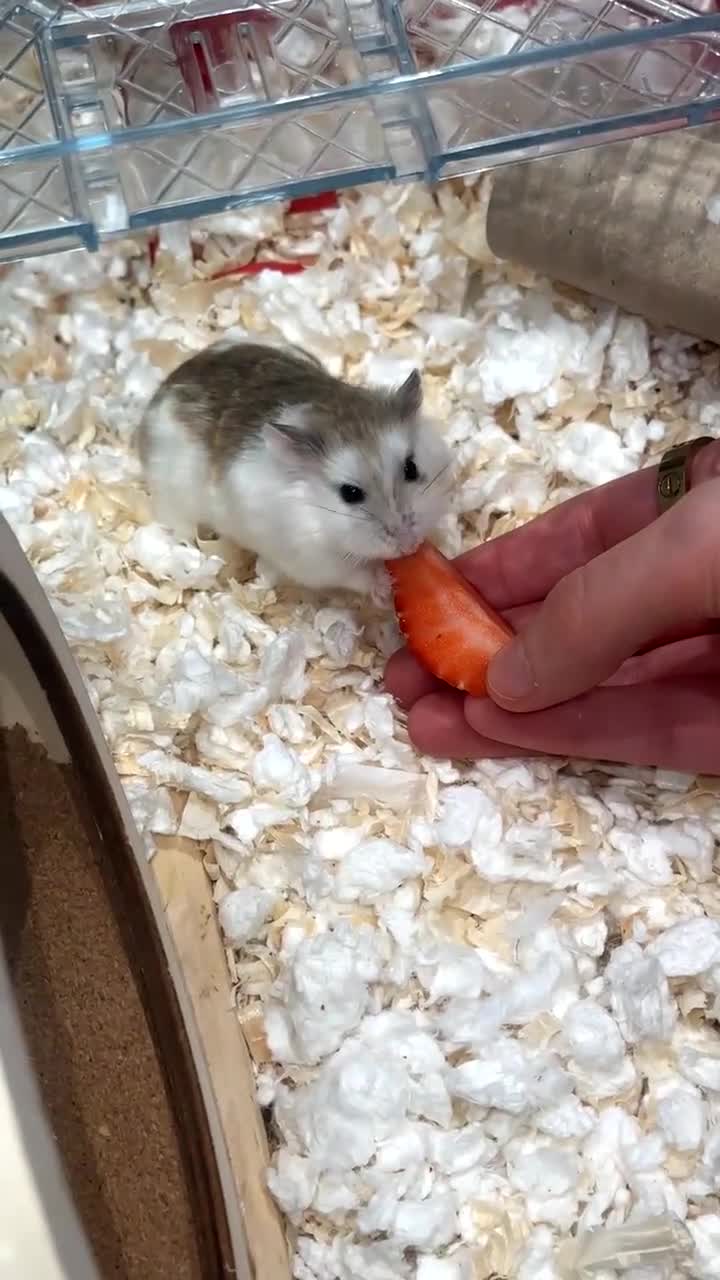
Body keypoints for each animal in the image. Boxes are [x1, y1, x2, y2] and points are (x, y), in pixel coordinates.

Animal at [137, 339, 453, 598]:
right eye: (350, 493)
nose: (409, 545)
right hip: (174, 499)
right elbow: (356, 576)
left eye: (411, 468)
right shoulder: (313, 561)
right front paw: (385, 588)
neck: (322, 520)